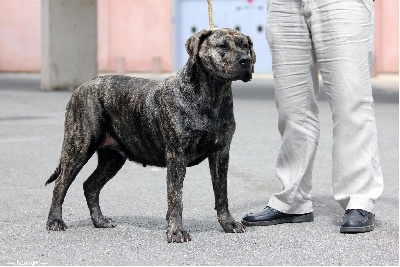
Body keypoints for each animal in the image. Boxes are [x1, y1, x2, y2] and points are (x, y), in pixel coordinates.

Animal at [44, 28, 256, 244]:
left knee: (91, 185)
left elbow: (221, 194)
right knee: (60, 184)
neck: (211, 95)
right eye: (222, 46)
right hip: (78, 147)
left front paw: (228, 224)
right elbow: (176, 197)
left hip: (112, 159)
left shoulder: (221, 154)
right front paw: (176, 231)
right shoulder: (177, 156)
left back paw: (99, 220)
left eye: (245, 45)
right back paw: (55, 221)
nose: (246, 60)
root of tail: (80, 87)